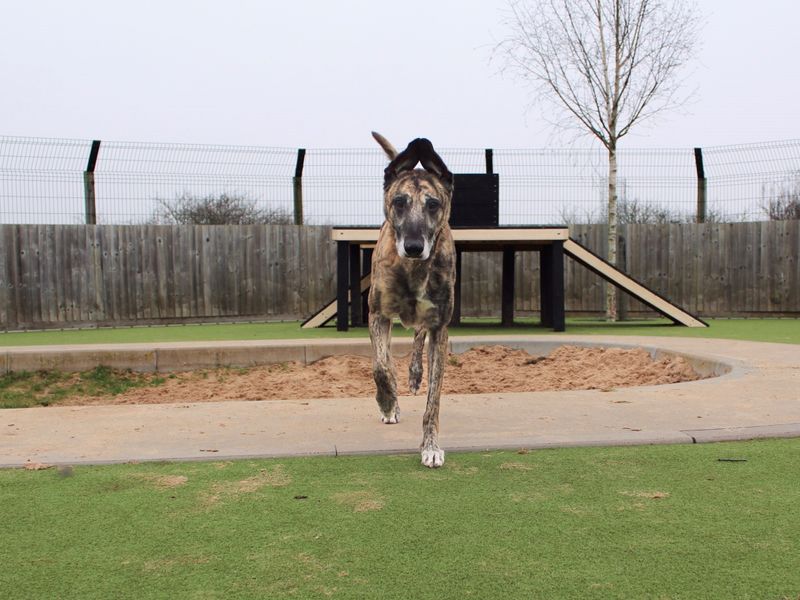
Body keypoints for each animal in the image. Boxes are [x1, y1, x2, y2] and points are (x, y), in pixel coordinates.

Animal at [368, 131, 456, 468]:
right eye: (399, 202)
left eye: (433, 204)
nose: (414, 246)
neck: (414, 269)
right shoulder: (377, 314)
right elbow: (381, 368)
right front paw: (388, 401)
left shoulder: (440, 327)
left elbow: (434, 401)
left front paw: (430, 446)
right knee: (386, 359)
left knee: (418, 336)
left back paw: (415, 373)